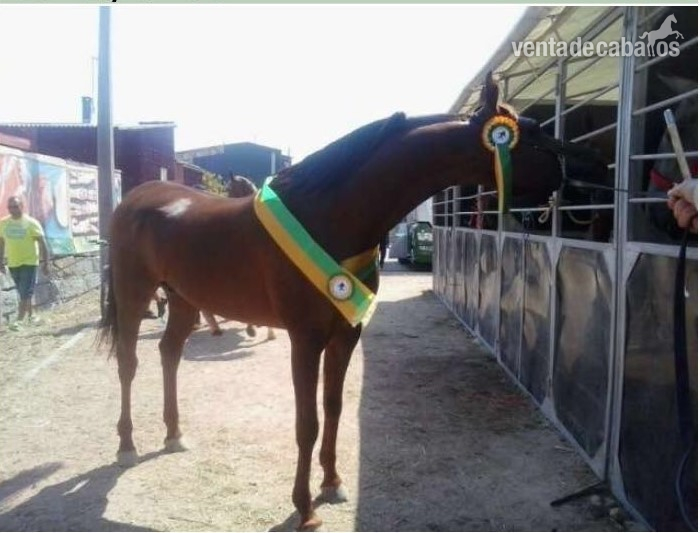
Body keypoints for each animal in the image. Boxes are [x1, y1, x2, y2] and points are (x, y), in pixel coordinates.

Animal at [100, 73, 572, 530]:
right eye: (528, 132)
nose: (570, 171)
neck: (327, 217)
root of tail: (135, 200)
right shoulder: (305, 340)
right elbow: (306, 423)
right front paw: (305, 508)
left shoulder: (345, 334)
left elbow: (333, 408)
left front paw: (332, 483)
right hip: (134, 294)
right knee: (128, 363)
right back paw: (126, 444)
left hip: (183, 299)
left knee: (169, 353)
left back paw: (173, 435)